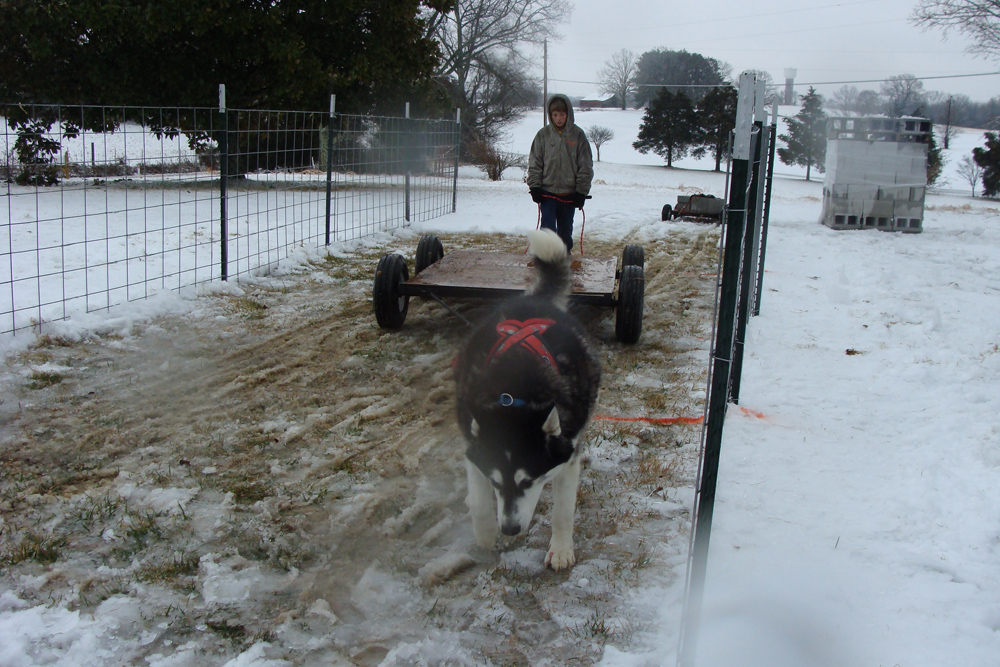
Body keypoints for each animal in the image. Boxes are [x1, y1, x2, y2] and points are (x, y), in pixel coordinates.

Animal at [456, 228, 600, 568]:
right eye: (497, 483)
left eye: (527, 482)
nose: (509, 529)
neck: (514, 396)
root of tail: (536, 301)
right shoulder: (473, 442)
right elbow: (480, 497)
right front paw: (485, 533)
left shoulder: (568, 452)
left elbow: (563, 510)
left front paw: (560, 549)